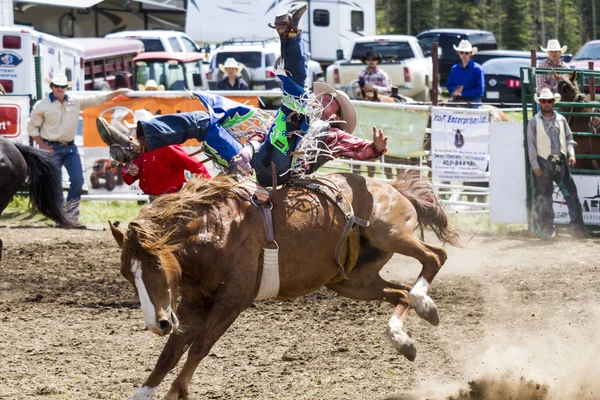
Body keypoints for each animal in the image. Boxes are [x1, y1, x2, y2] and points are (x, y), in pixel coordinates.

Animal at [109, 173, 454, 398]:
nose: (157, 324)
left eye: (155, 265)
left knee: (435, 256)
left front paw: (177, 392)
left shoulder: (233, 300)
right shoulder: (192, 305)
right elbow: (169, 354)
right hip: (351, 282)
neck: (215, 231)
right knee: (400, 293)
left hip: (389, 234)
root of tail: (393, 187)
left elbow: (199, 346)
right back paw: (402, 339)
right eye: (127, 274)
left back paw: (424, 303)